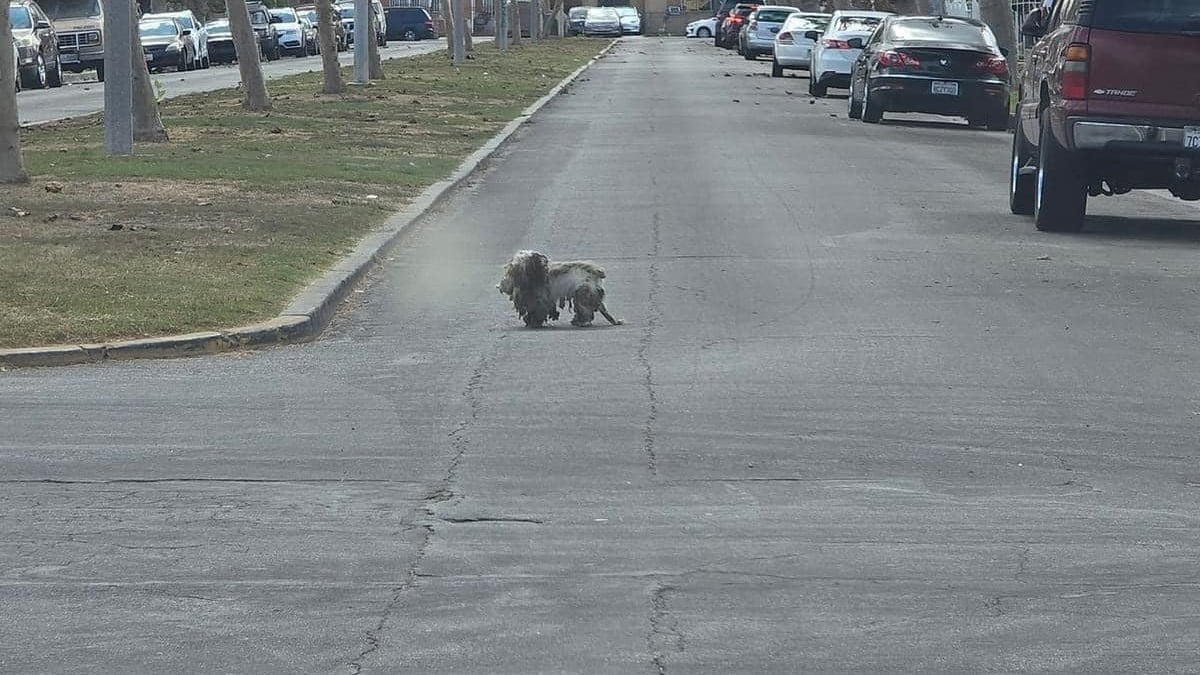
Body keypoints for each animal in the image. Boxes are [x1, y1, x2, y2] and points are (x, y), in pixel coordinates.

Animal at [499, 249, 628, 329]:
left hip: (583, 293)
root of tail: (596, 275)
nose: (503, 283)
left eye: (513, 269)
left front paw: (533, 323)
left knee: (585, 310)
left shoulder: (540, 300)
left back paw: (582, 322)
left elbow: (538, 311)